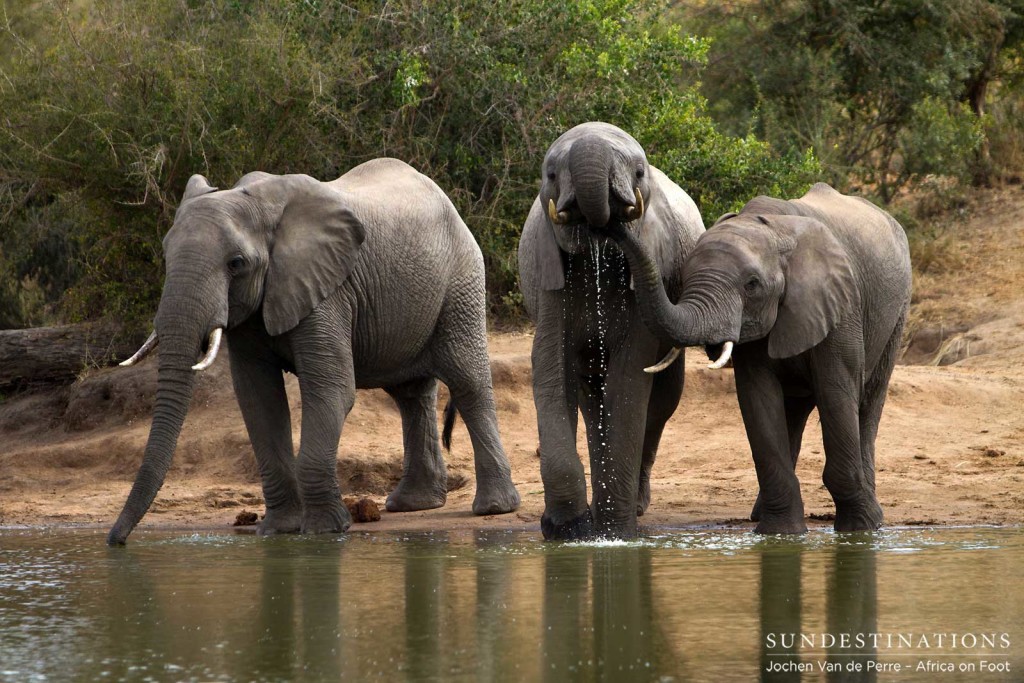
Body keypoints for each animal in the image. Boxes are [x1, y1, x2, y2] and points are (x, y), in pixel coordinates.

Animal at [108, 156, 520, 544]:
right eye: (165, 255)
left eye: (236, 264)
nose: (116, 540)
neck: (260, 207)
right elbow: (259, 399)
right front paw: (278, 531)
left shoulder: (327, 290)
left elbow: (330, 389)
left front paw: (324, 531)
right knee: (410, 395)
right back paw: (412, 505)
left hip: (462, 279)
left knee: (467, 382)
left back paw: (493, 509)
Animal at [516, 122, 708, 540]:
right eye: (550, 175)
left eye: (638, 173)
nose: (603, 223)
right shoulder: (549, 276)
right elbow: (550, 367)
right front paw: (569, 529)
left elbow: (629, 379)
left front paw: (615, 533)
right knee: (592, 400)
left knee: (662, 401)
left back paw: (633, 506)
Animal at [598, 184, 913, 536]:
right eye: (683, 276)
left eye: (752, 285)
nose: (614, 218)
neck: (775, 231)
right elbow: (758, 398)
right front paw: (781, 532)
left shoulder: (840, 304)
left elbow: (836, 391)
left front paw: (859, 528)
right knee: (795, 411)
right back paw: (762, 514)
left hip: (897, 312)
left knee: (868, 402)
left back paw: (873, 516)